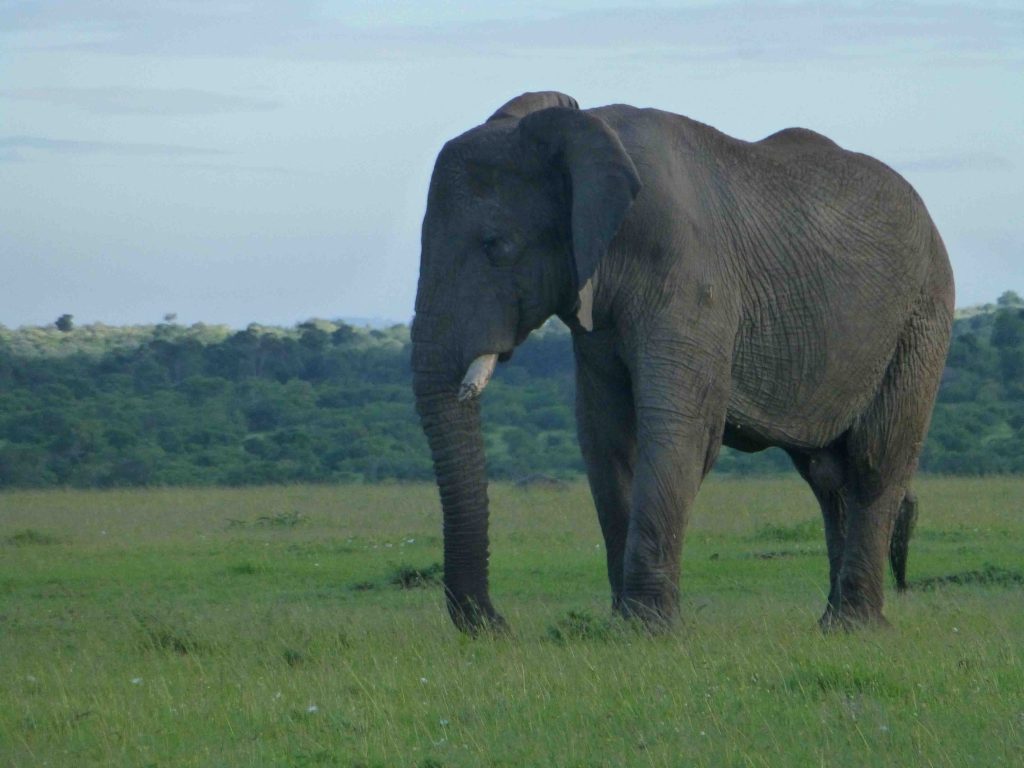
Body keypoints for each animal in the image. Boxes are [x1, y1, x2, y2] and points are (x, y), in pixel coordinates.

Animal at [411, 91, 954, 634]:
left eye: (497, 246)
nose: (496, 624)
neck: (588, 132)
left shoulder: (690, 278)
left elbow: (677, 427)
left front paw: (647, 630)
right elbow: (607, 435)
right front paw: (623, 626)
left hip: (922, 314)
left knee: (873, 461)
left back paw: (854, 626)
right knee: (828, 479)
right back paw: (832, 625)